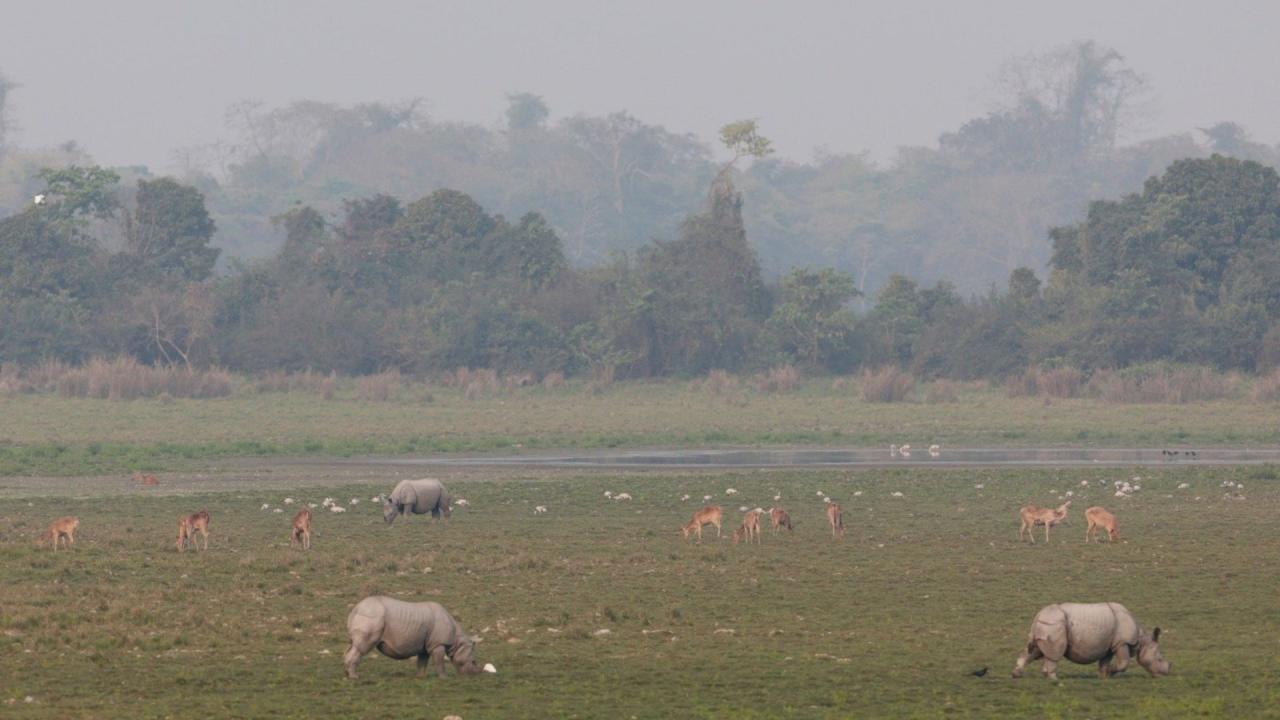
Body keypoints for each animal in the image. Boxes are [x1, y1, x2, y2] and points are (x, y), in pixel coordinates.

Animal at [343, 591, 481, 676]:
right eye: (473, 661)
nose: (475, 674)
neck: (457, 640)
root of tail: (356, 608)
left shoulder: (425, 645)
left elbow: (422, 662)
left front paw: (420, 677)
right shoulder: (438, 644)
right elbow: (439, 661)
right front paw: (444, 678)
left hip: (367, 615)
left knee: (353, 645)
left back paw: (347, 675)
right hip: (372, 616)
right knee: (361, 647)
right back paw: (355, 677)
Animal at [1008, 599, 1172, 676]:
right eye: (1159, 659)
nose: (1165, 673)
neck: (1142, 640)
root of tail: (1038, 616)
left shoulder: (1109, 644)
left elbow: (1104, 661)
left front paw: (1105, 675)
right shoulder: (1122, 642)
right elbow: (1123, 663)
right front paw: (1111, 672)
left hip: (1046, 625)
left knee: (1035, 651)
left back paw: (1016, 675)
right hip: (1054, 624)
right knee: (1051, 653)